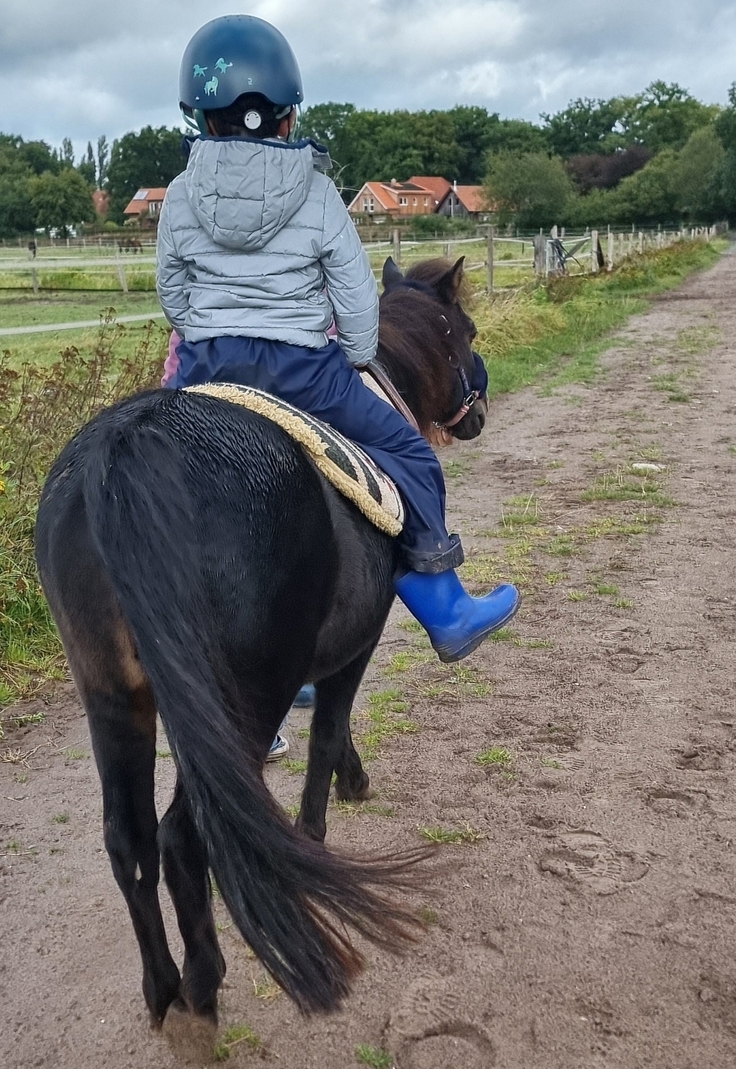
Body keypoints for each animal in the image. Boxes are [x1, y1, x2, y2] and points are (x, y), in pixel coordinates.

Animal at [34, 256, 488, 1030]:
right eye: (467, 332)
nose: (479, 408)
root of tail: (124, 453)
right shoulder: (356, 641)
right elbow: (330, 730)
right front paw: (327, 814)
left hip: (114, 696)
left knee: (129, 838)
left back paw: (162, 987)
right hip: (245, 694)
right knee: (184, 835)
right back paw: (203, 982)